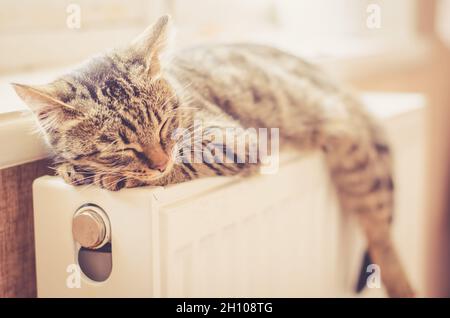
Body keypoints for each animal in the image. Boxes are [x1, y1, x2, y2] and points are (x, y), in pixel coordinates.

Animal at [13, 14, 414, 298]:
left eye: (164, 124)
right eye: (122, 148)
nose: (159, 161)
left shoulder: (237, 138)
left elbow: (187, 158)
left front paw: (111, 176)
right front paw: (78, 169)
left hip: (355, 162)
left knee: (382, 237)